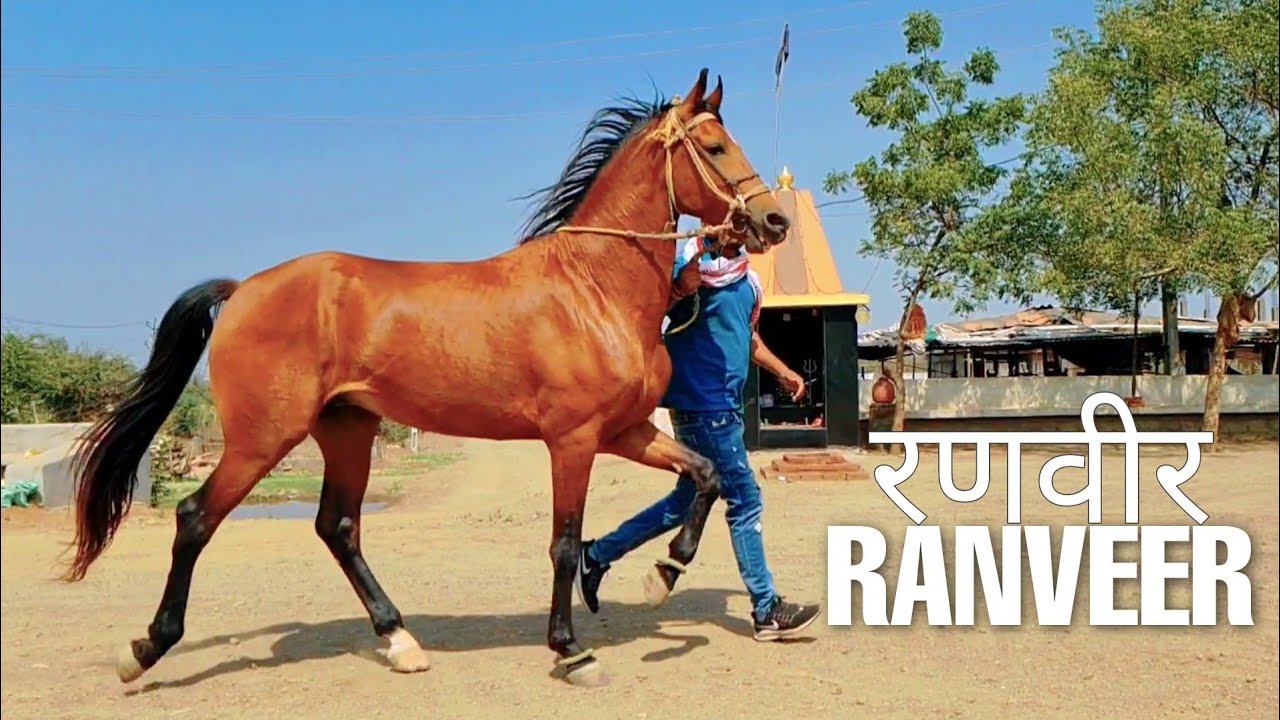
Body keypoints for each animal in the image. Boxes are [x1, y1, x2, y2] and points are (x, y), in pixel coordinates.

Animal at [63, 67, 791, 689]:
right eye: (715, 147)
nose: (773, 220)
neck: (593, 286)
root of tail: (242, 290)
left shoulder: (626, 430)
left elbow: (706, 476)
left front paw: (664, 573)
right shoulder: (574, 440)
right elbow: (563, 542)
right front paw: (571, 650)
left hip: (347, 429)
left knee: (338, 526)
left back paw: (400, 641)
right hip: (262, 438)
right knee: (196, 518)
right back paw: (145, 649)